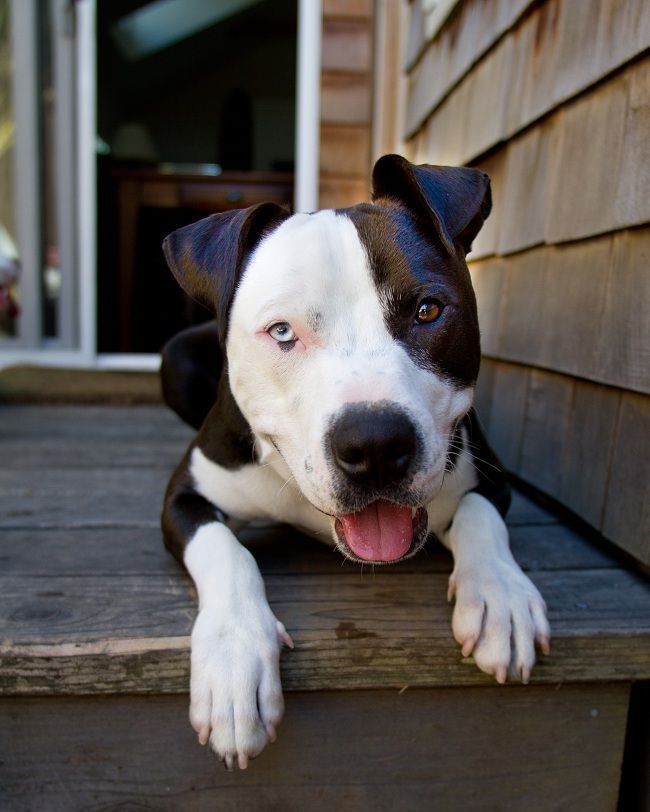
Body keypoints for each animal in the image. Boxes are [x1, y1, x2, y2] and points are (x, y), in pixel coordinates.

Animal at [158, 155, 548, 772]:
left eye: (428, 310)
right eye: (282, 332)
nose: (375, 445)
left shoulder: (490, 474)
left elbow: (480, 515)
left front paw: (501, 595)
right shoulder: (186, 494)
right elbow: (224, 549)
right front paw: (233, 660)